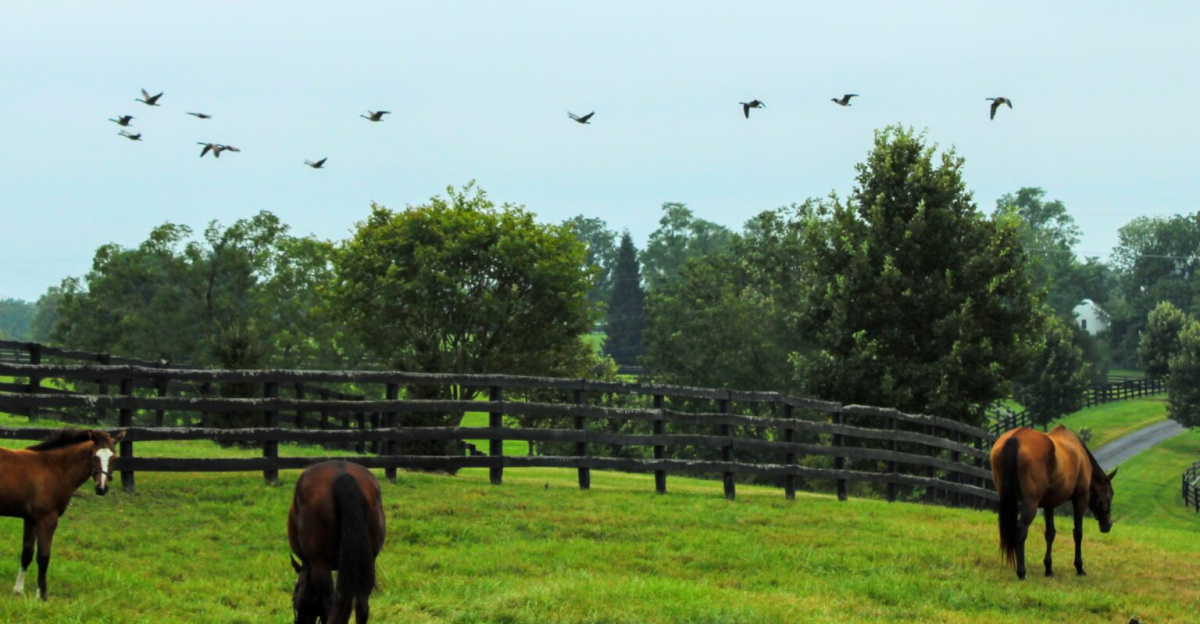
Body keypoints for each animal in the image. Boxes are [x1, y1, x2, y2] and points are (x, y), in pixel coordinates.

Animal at [0, 428, 123, 600]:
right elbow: (43, 556)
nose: (101, 488)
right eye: (94, 456)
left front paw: (18, 590)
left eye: (114, 458)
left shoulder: (30, 519)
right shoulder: (47, 519)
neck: (54, 469)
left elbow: (27, 553)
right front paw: (41, 596)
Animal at [288, 460, 386, 624]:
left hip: (320, 564)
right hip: (368, 561)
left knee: (331, 602)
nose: (298, 620)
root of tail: (341, 472)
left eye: (294, 596)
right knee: (362, 604)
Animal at [989, 425, 1116, 580]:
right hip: (1030, 503)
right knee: (1020, 529)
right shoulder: (1080, 500)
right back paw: (1021, 572)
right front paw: (1079, 567)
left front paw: (1048, 568)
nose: (1108, 524)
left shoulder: (1048, 504)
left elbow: (1050, 533)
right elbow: (1078, 533)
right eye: (1110, 495)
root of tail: (1014, 438)